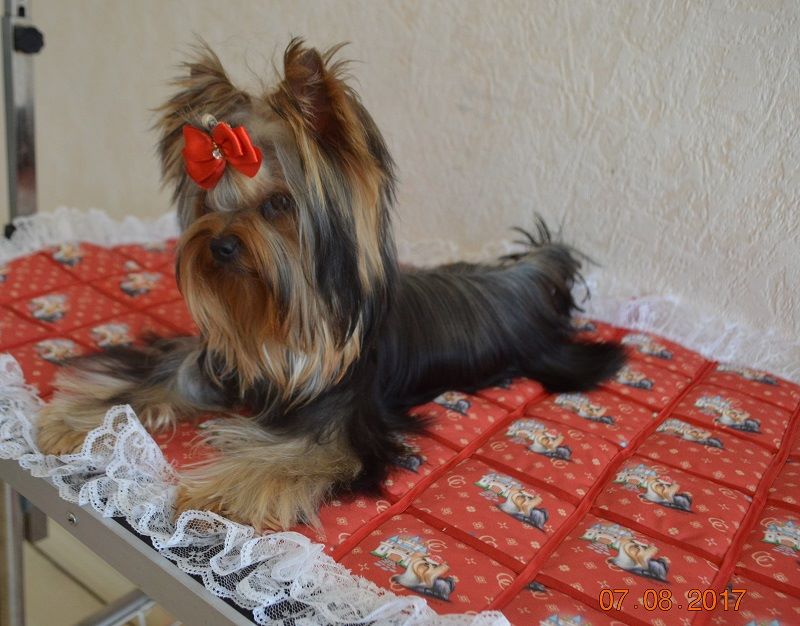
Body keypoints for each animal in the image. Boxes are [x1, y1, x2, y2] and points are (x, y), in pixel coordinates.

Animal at [35, 39, 625, 530]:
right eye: (209, 202)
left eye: (278, 204)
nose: (219, 245)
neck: (276, 319)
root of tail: (532, 271)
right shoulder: (221, 361)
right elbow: (159, 379)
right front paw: (77, 422)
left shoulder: (343, 424)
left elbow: (290, 457)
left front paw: (213, 495)